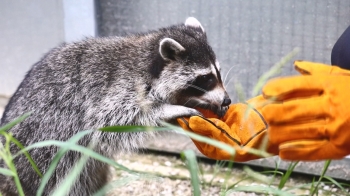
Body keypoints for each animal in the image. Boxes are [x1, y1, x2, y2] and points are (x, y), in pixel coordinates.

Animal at [0, 17, 231, 195]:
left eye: (218, 73)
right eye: (206, 78)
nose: (227, 100)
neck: (147, 60)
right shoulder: (114, 92)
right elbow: (114, 121)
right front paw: (170, 109)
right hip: (46, 151)